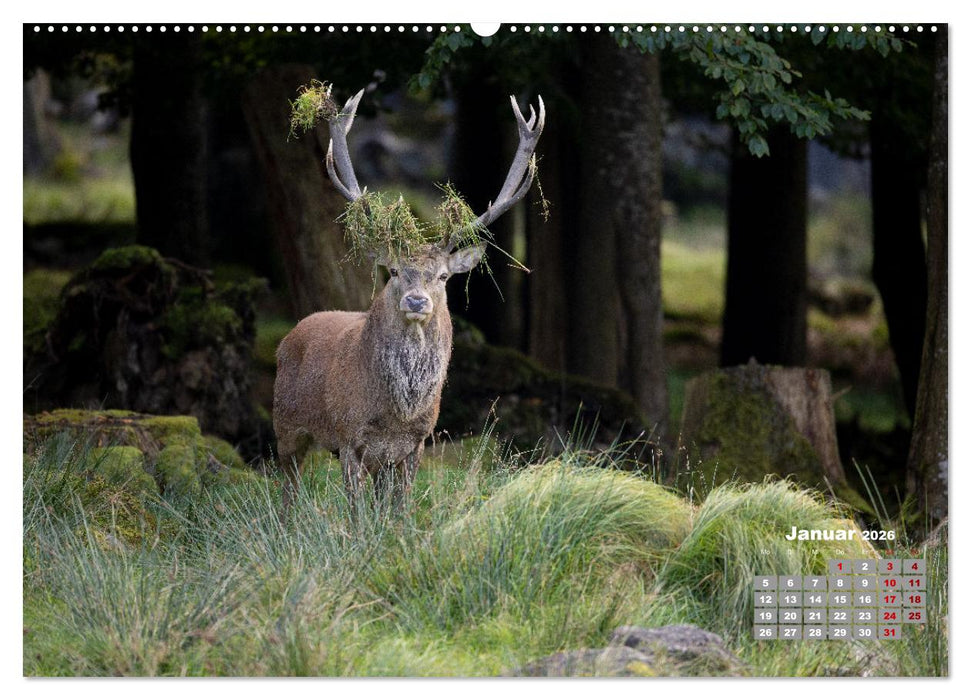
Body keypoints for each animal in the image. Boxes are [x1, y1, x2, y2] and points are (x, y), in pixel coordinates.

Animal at [273, 87, 545, 514]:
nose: (417, 302)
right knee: (289, 487)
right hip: (285, 426)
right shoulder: (349, 437)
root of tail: (290, 335)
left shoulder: (415, 444)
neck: (396, 413)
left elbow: (399, 512)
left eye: (444, 276)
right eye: (394, 271)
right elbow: (356, 515)